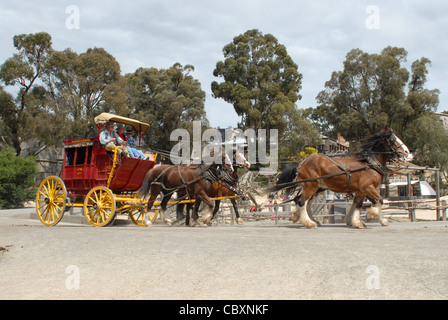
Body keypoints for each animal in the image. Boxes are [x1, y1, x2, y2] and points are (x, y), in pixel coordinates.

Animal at [270, 129, 412, 229]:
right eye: (393, 139)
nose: (407, 152)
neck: (370, 163)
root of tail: (302, 162)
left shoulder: (362, 190)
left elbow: (359, 204)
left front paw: (356, 221)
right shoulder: (367, 187)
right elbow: (379, 201)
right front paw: (367, 218)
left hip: (316, 188)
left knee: (305, 202)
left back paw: (307, 219)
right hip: (310, 186)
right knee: (301, 201)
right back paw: (309, 223)